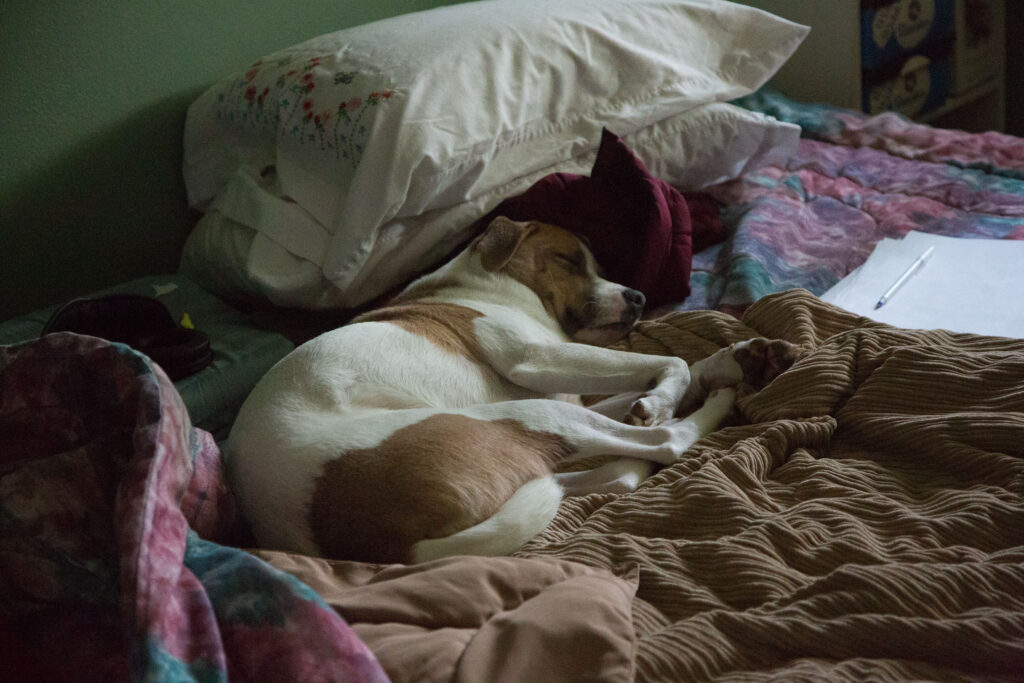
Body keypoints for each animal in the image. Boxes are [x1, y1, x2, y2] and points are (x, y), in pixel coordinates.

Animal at [226, 216, 798, 565]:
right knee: (665, 445)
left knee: (611, 474)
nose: (638, 297)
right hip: (532, 413)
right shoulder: (539, 361)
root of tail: (387, 546)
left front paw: (732, 359)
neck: (486, 283)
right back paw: (715, 406)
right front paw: (665, 399)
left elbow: (675, 368)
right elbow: (671, 364)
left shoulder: (573, 385)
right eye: (568, 261)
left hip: (535, 434)